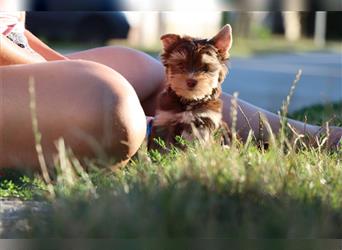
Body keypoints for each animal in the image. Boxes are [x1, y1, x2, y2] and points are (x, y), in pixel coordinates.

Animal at [147, 24, 232, 152]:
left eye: (205, 68)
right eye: (181, 65)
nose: (191, 81)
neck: (189, 100)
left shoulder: (204, 121)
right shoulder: (165, 119)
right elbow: (160, 145)